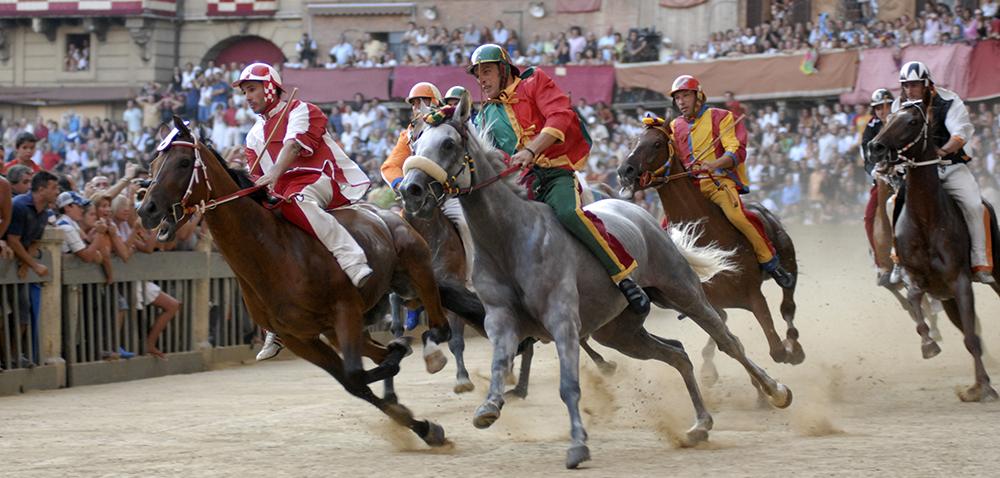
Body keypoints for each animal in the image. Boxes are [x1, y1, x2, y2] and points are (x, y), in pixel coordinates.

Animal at [136, 117, 460, 446]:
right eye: (153, 164)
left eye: (183, 162)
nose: (146, 209)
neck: (273, 253)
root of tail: (386, 214)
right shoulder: (298, 337)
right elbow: (354, 381)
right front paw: (423, 426)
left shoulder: (344, 308)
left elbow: (355, 374)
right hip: (348, 322)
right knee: (384, 348)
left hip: (416, 270)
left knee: (440, 327)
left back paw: (431, 354)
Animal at [616, 125, 804, 382]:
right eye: (633, 141)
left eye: (656, 143)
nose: (625, 170)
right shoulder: (706, 300)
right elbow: (726, 336)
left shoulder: (753, 295)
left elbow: (776, 349)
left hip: (788, 259)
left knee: (788, 303)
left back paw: (795, 347)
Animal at [868, 101, 1000, 404]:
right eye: (889, 118)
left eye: (913, 122)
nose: (876, 147)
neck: (926, 219)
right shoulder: (917, 278)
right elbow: (915, 302)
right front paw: (928, 343)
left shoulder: (960, 280)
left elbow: (971, 337)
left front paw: (984, 388)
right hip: (947, 298)